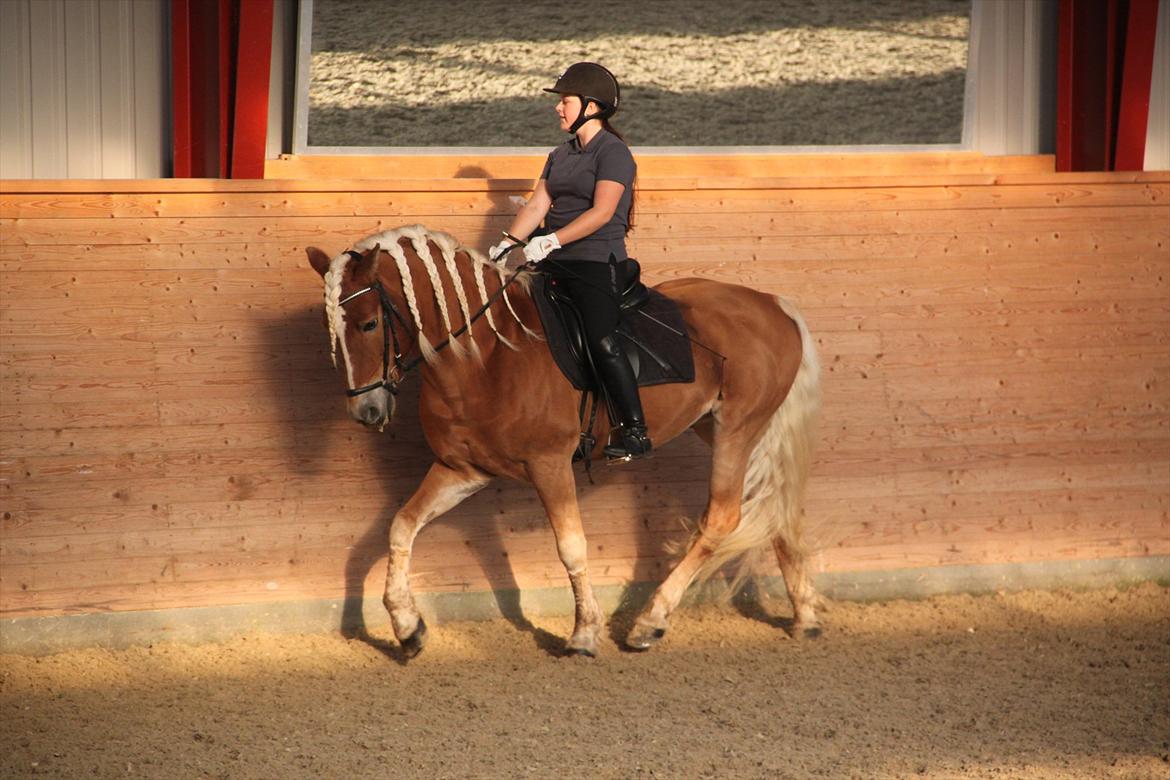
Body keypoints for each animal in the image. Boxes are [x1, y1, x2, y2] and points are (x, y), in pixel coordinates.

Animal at [311, 225, 823, 659]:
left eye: (369, 324)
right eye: (333, 332)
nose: (366, 412)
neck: (486, 356)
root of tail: (772, 303)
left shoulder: (550, 464)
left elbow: (571, 546)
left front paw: (583, 633)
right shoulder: (462, 469)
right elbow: (401, 526)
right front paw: (407, 626)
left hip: (738, 426)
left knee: (722, 517)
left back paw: (650, 622)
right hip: (722, 428)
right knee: (777, 509)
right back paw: (805, 617)